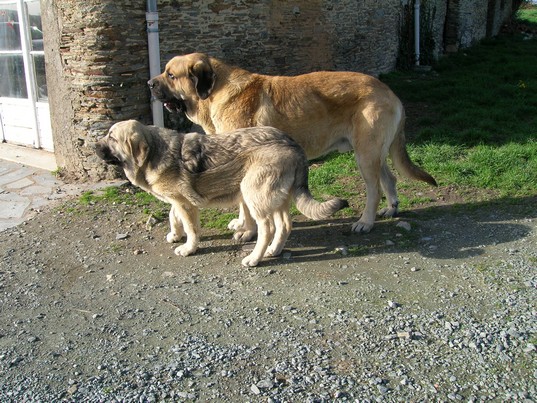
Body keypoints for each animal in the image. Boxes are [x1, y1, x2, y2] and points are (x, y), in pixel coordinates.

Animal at [148, 52, 436, 238]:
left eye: (171, 75)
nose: (149, 83)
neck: (215, 93)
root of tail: (389, 91)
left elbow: (246, 204)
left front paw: (248, 231)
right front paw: (241, 224)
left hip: (365, 154)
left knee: (374, 189)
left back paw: (366, 222)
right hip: (373, 152)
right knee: (389, 179)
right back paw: (391, 208)